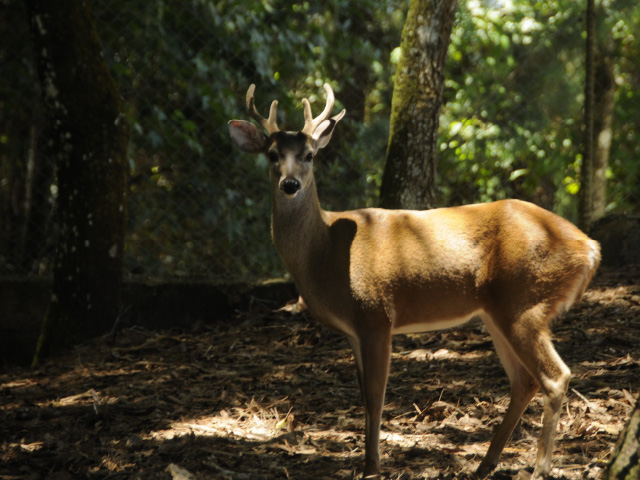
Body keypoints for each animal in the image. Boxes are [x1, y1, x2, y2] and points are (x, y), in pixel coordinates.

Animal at [229, 83, 600, 480]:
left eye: (310, 155)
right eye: (271, 155)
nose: (290, 184)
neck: (324, 253)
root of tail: (589, 247)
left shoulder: (376, 316)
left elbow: (376, 396)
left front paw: (372, 467)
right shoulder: (353, 330)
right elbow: (363, 395)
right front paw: (367, 462)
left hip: (525, 301)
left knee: (555, 376)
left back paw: (539, 468)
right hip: (497, 312)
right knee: (523, 381)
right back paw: (484, 465)